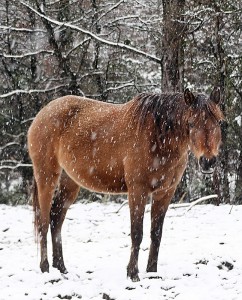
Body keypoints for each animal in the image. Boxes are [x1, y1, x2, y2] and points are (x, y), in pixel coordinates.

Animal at [28, 86, 225, 282]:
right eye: (191, 123)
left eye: (218, 122)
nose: (208, 161)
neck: (158, 136)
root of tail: (42, 115)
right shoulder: (138, 190)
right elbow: (137, 233)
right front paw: (133, 274)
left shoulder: (165, 193)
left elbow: (156, 233)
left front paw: (152, 272)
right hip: (47, 178)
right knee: (43, 221)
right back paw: (45, 268)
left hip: (70, 182)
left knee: (56, 219)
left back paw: (61, 268)